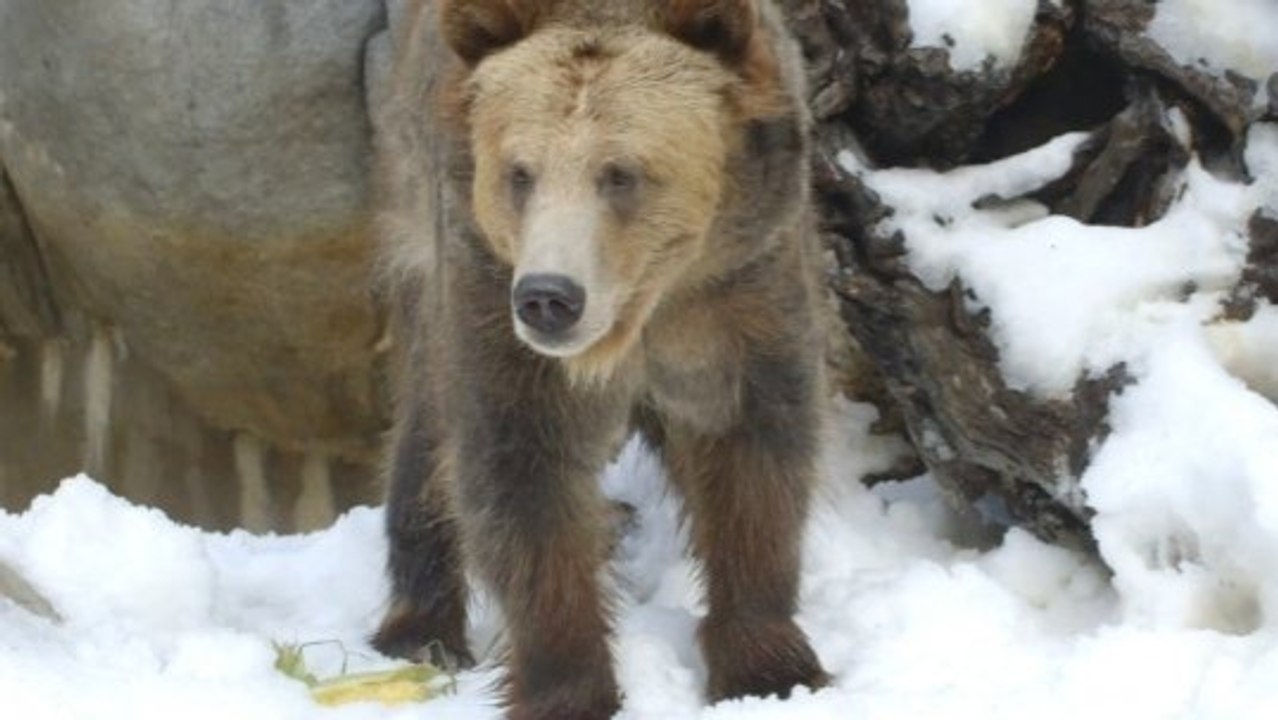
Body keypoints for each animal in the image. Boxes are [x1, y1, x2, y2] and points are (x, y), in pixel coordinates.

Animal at [370, 0, 829, 717]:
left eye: (620, 173)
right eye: (519, 172)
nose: (548, 297)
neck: (640, 308)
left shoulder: (739, 286)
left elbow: (754, 450)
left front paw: (768, 665)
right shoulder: (490, 293)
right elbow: (520, 476)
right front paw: (568, 689)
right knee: (425, 433)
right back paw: (419, 628)